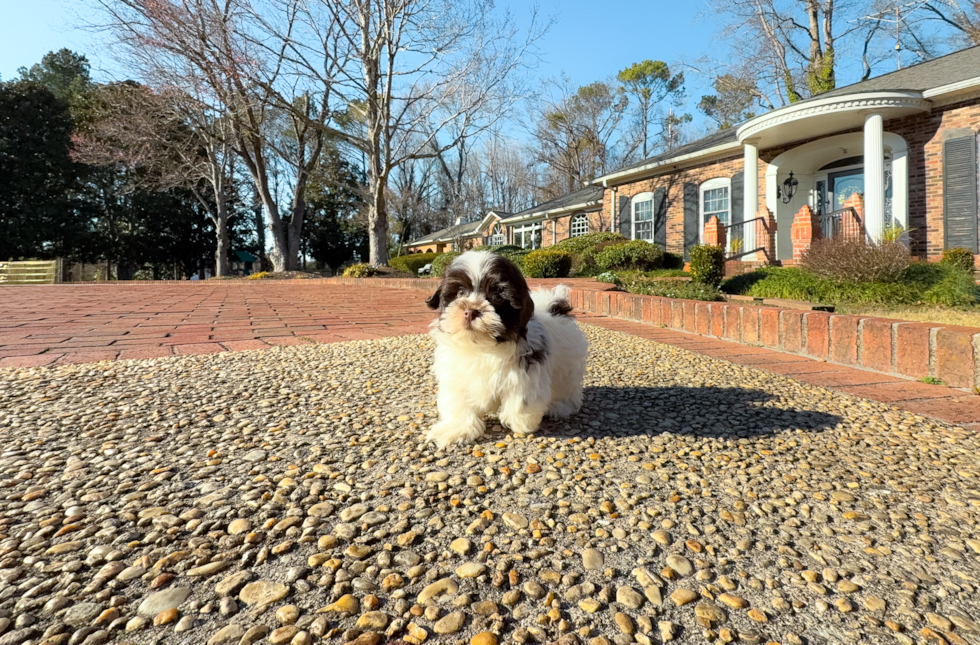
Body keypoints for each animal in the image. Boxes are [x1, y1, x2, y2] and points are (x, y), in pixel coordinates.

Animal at [424, 252, 588, 448]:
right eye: (460, 292)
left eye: (496, 296)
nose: (471, 311)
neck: (482, 346)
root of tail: (554, 306)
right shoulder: (456, 373)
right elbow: (458, 401)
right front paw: (457, 429)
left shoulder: (525, 369)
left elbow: (522, 399)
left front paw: (522, 422)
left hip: (568, 363)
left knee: (567, 387)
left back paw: (560, 406)